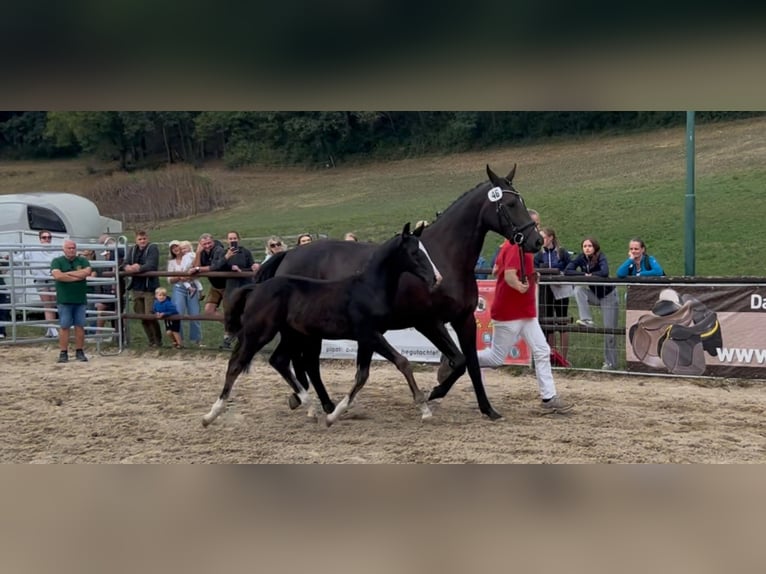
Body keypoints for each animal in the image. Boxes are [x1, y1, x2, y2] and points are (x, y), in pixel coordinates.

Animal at [202, 222, 440, 427]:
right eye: (415, 253)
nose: (437, 279)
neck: (368, 288)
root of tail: (255, 288)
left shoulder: (367, 338)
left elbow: (362, 376)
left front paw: (334, 415)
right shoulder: (369, 334)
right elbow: (402, 362)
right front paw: (425, 409)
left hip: (291, 335)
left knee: (278, 360)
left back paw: (312, 408)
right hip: (260, 333)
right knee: (237, 365)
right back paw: (210, 415)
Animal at [253, 164, 542, 420]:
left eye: (522, 201)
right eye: (510, 204)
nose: (536, 240)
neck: (443, 256)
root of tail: (288, 254)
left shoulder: (464, 320)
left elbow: (471, 364)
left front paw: (487, 409)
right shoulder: (428, 322)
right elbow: (459, 362)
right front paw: (434, 393)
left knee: (304, 362)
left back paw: (315, 403)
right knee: (305, 361)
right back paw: (318, 404)